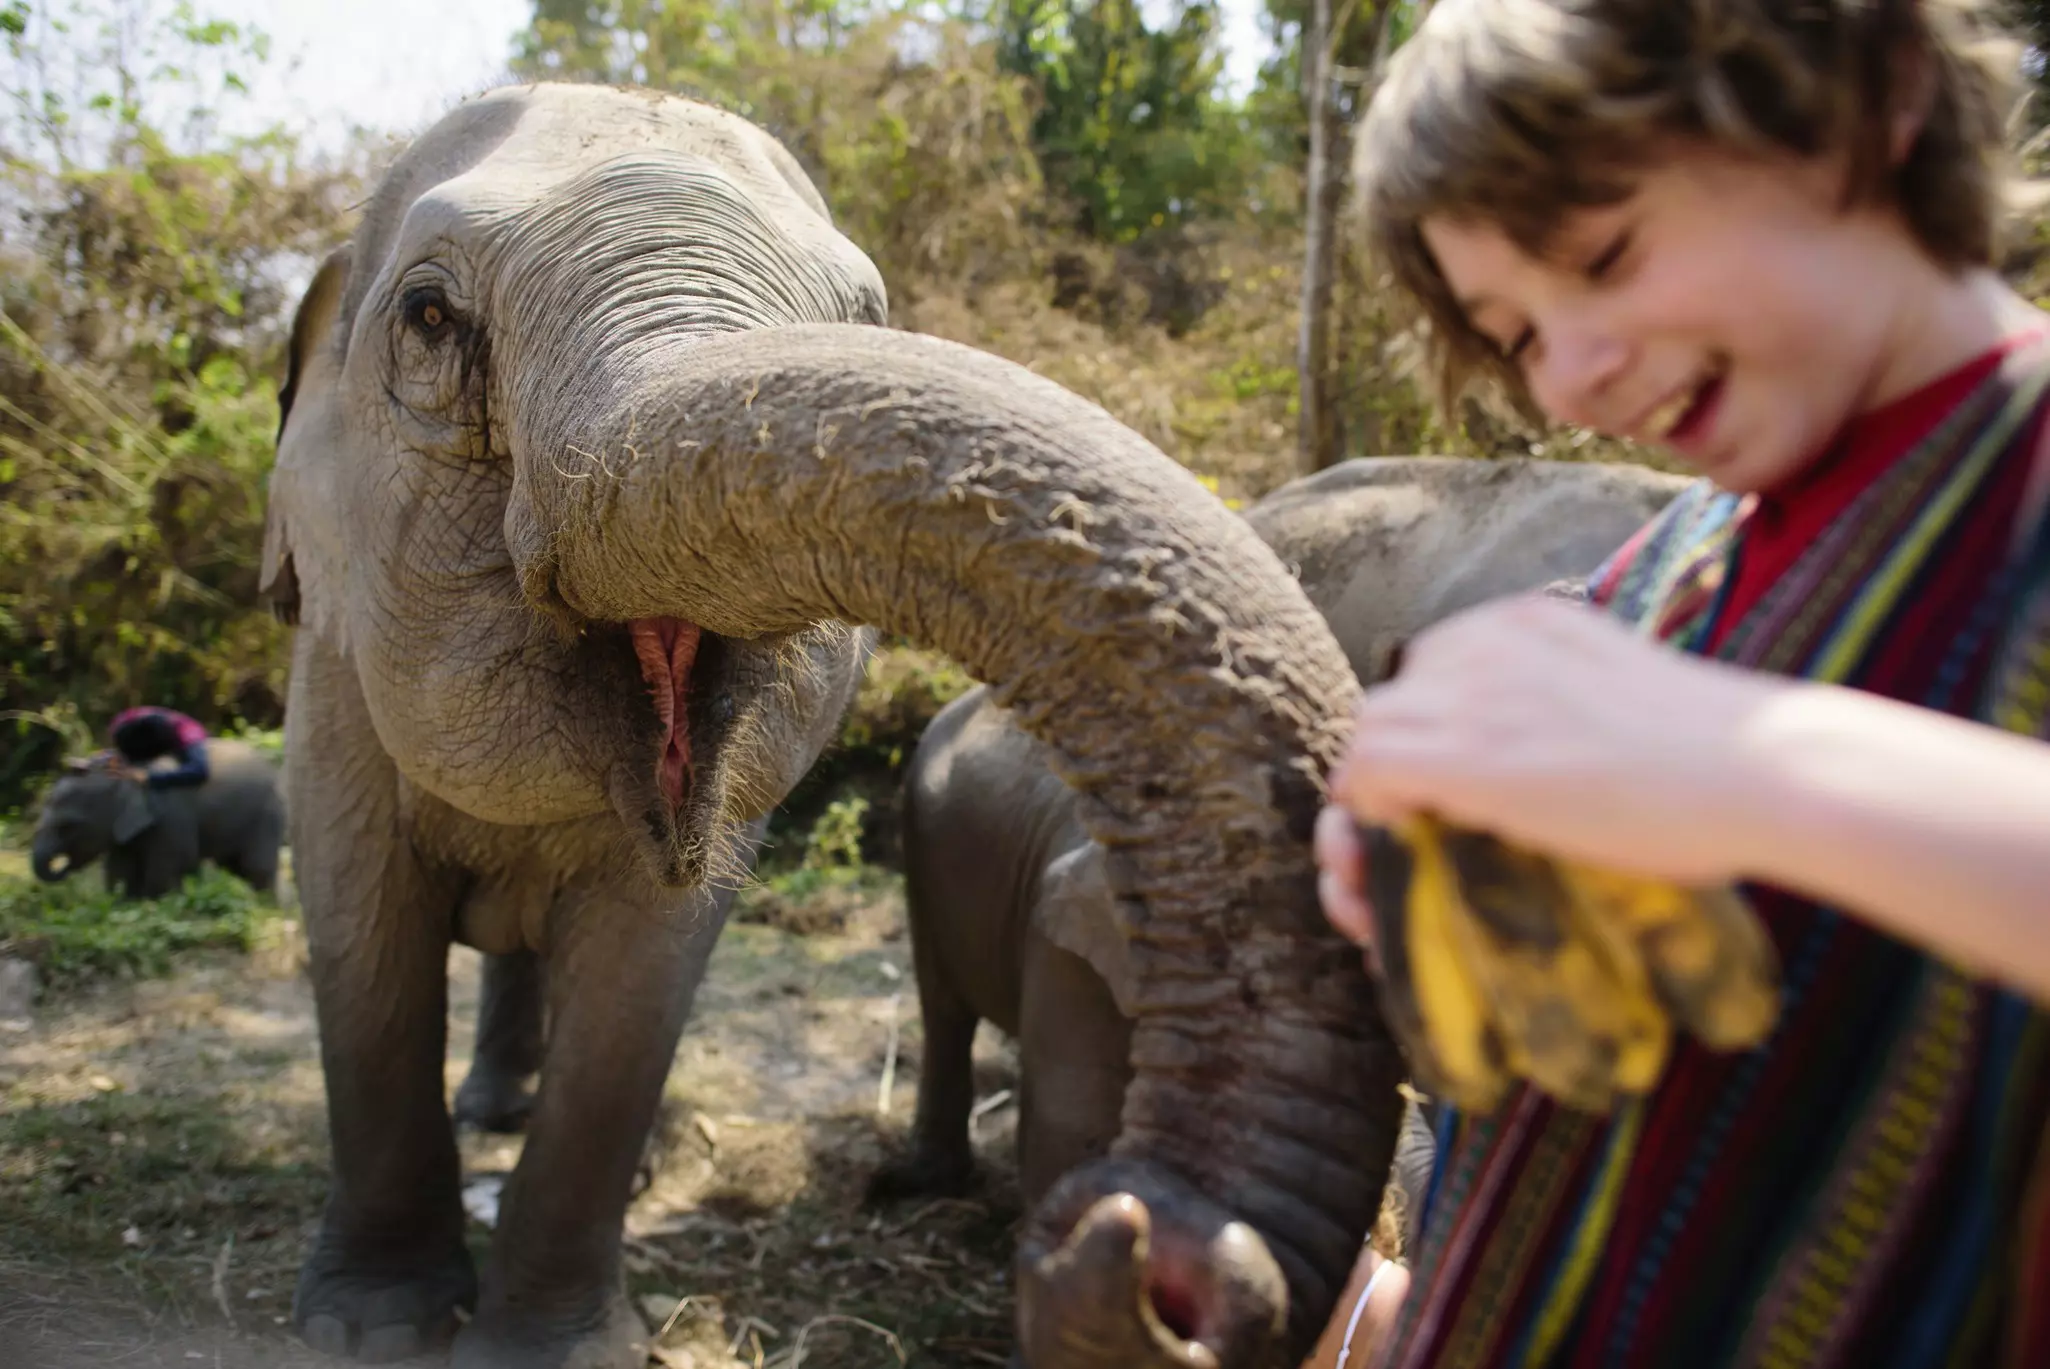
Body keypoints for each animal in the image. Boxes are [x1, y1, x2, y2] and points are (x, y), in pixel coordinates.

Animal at [30, 740, 286, 900]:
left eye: (68, 827)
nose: (64, 867)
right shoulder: (123, 828)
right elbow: (119, 872)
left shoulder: (171, 818)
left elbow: (169, 868)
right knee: (237, 868)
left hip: (267, 814)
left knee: (256, 868)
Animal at [257, 81, 1407, 1369]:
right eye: (429, 315)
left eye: (868, 316)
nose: (1155, 1251)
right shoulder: (327, 674)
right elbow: (361, 926)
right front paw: (372, 1325)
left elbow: (638, 977)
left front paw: (548, 1348)